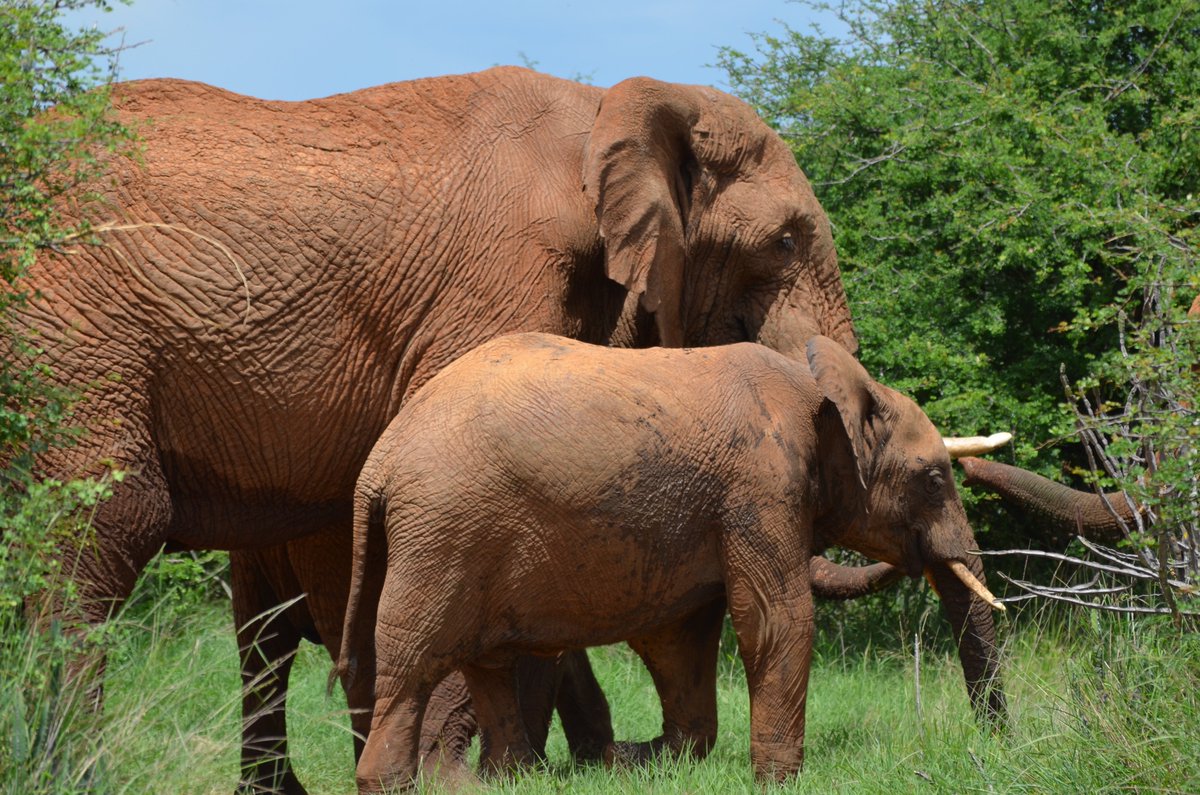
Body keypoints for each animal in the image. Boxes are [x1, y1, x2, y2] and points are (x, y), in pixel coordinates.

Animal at [338, 331, 1003, 792]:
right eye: (934, 479)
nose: (996, 741)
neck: (823, 388)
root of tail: (379, 464)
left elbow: (679, 639)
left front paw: (647, 758)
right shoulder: (761, 486)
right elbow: (776, 620)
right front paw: (778, 782)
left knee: (489, 666)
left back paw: (518, 778)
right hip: (442, 536)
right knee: (411, 666)